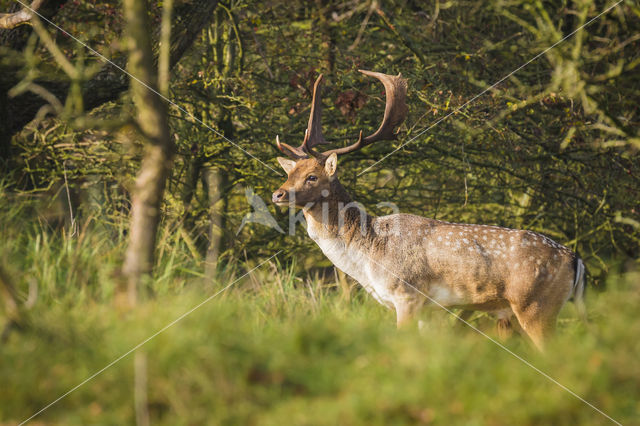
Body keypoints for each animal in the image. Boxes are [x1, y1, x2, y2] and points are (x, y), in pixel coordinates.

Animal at [270, 70, 584, 350]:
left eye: (312, 176)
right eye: (290, 172)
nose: (277, 194)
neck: (369, 258)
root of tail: (575, 260)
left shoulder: (407, 294)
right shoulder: (430, 309)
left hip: (535, 305)